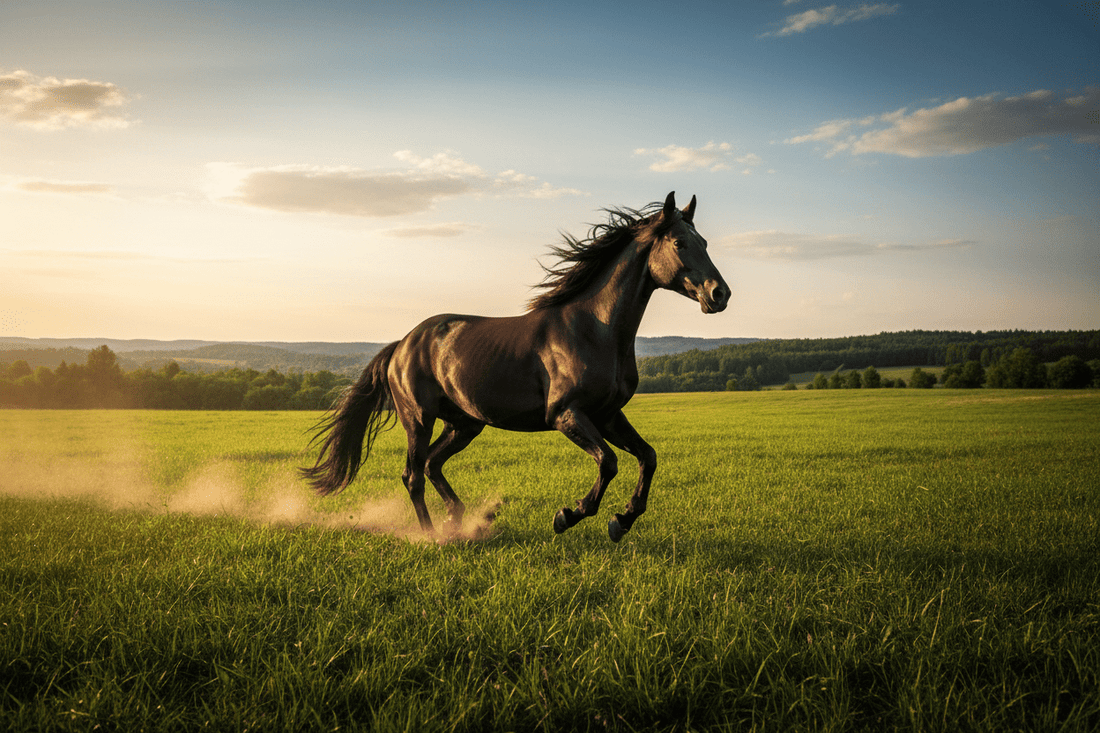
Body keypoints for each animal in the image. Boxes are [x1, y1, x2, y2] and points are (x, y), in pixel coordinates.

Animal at [301, 191, 729, 541]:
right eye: (679, 242)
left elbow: (648, 457)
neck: (595, 329)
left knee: (432, 465)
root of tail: (401, 345)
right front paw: (569, 515)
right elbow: (608, 463)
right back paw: (431, 535)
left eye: (705, 242)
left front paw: (621, 521)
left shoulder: (607, 415)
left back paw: (457, 519)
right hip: (418, 419)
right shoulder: (566, 414)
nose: (719, 294)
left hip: (464, 423)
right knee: (413, 475)